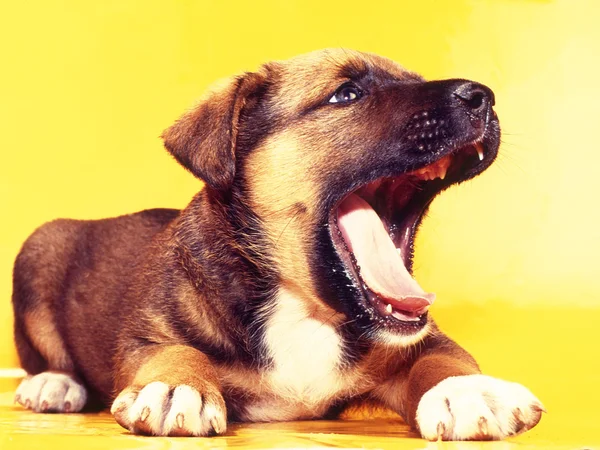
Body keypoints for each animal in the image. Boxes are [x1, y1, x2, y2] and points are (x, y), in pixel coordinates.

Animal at [10, 49, 544, 440]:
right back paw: (52, 384)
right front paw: (175, 385)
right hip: (38, 249)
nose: (481, 97)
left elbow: (443, 355)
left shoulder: (417, 338)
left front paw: (467, 391)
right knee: (46, 356)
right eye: (347, 94)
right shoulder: (145, 336)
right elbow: (171, 351)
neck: (303, 308)